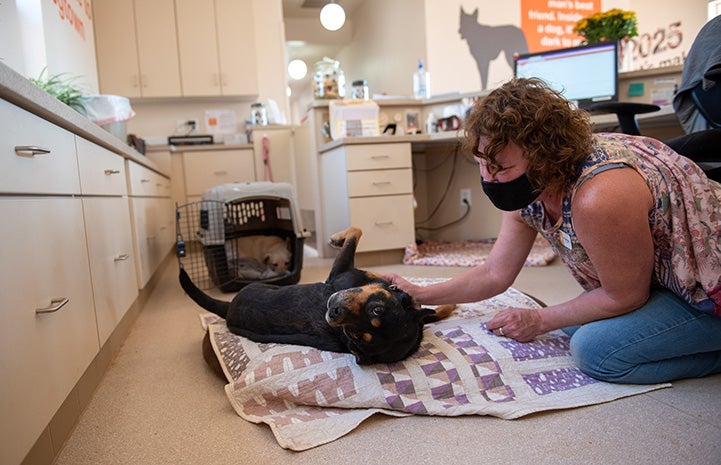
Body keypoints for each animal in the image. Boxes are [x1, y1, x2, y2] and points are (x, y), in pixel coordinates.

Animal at [180, 227, 452, 364]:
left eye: (357, 335)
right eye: (377, 310)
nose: (333, 312)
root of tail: (228, 309)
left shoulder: (340, 272)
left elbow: (355, 232)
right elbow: (428, 311)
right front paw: (450, 305)